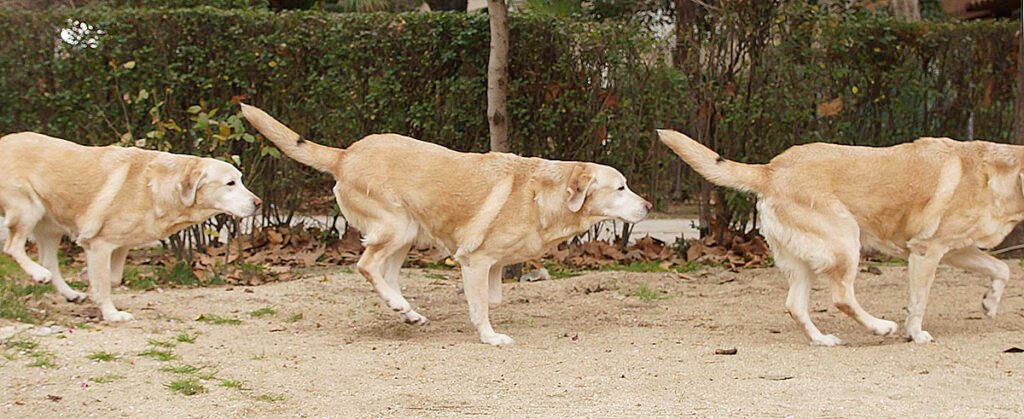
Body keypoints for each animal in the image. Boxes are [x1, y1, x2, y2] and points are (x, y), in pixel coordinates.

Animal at [0, 132, 262, 321]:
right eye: (230, 183)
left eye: (240, 180)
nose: (258, 203)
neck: (154, 188)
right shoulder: (99, 244)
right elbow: (105, 282)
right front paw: (111, 314)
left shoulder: (120, 245)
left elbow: (113, 278)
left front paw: (88, 277)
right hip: (28, 209)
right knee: (13, 247)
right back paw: (38, 274)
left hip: (49, 225)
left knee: (48, 261)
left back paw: (69, 293)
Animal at [243, 103, 651, 342]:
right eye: (620, 187)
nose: (647, 206)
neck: (542, 193)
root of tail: (346, 154)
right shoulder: (475, 260)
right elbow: (483, 305)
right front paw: (489, 336)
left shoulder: (491, 265)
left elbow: (491, 297)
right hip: (396, 226)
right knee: (367, 266)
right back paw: (399, 305)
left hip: (406, 233)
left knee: (385, 274)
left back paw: (406, 311)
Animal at [659, 130, 1019, 346]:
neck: (995, 174)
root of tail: (771, 170)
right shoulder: (926, 251)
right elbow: (919, 302)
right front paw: (915, 333)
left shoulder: (958, 250)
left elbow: (1002, 270)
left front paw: (990, 303)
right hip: (846, 241)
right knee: (842, 297)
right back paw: (879, 327)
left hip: (804, 262)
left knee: (795, 306)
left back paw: (822, 340)